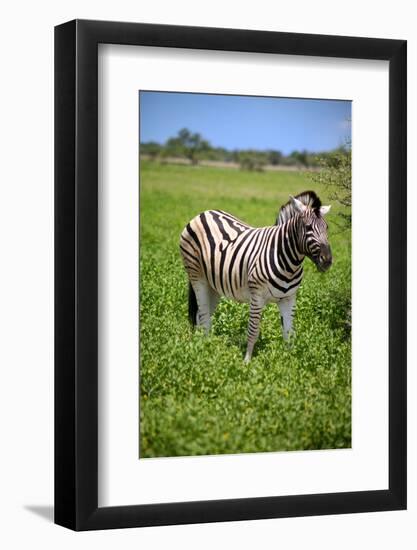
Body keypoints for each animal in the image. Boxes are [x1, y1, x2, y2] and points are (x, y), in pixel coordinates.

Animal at [179, 192, 332, 364]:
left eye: (327, 228)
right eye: (308, 227)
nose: (327, 260)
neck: (286, 260)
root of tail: (203, 213)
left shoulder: (289, 298)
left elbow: (289, 334)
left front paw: (289, 362)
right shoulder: (257, 296)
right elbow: (253, 330)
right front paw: (246, 362)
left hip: (213, 285)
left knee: (200, 317)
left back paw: (203, 346)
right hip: (197, 276)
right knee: (204, 316)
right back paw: (205, 350)